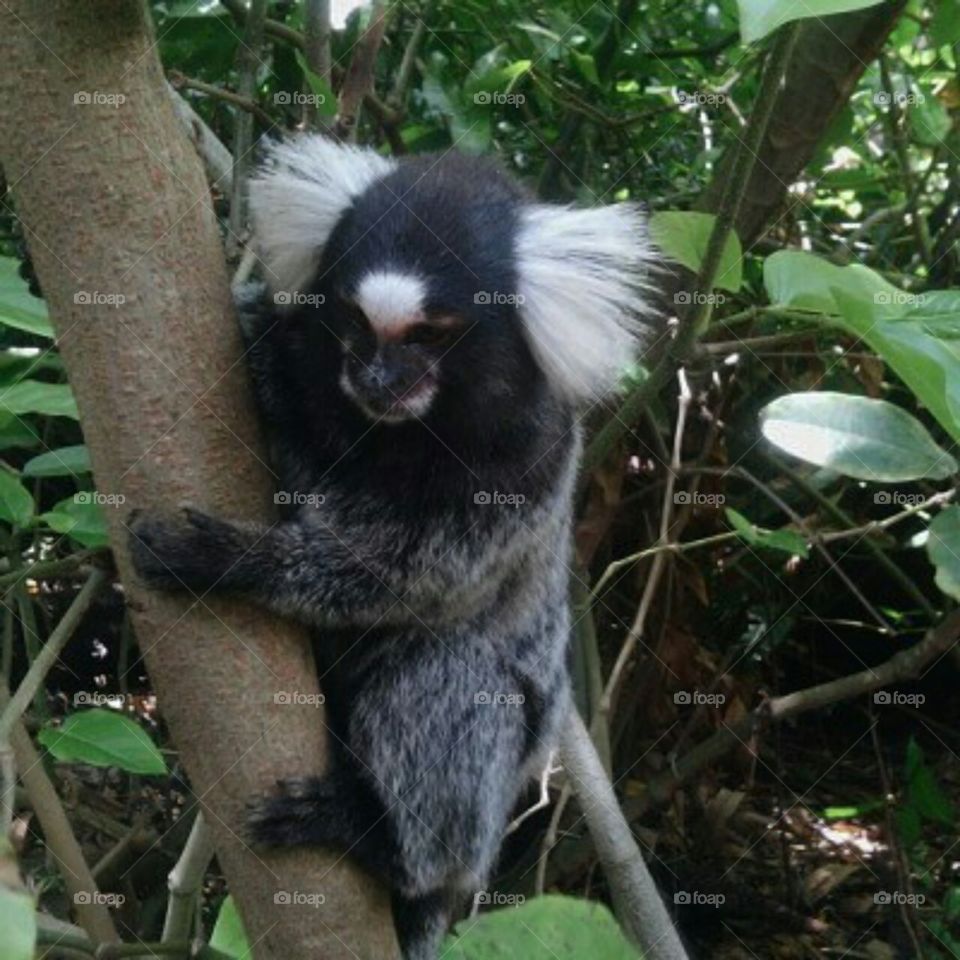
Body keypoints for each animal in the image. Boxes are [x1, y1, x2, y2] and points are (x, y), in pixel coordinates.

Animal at [128, 135, 654, 959]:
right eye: (354, 319)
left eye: (432, 333)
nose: (375, 378)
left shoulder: (526, 461)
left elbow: (404, 574)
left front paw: (230, 560)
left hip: (483, 814)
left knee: (445, 675)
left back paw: (380, 841)